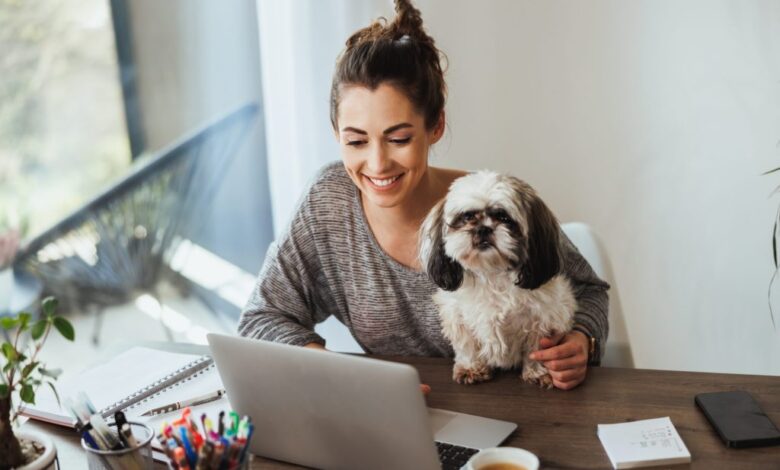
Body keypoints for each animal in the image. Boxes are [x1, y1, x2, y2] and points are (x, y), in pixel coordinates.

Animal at [418, 171, 576, 388]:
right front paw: (471, 368)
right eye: (467, 216)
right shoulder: (457, 317)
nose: (483, 229)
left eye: (504, 217)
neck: (491, 273)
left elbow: (535, 349)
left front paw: (537, 372)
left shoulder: (541, 319)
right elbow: (467, 346)